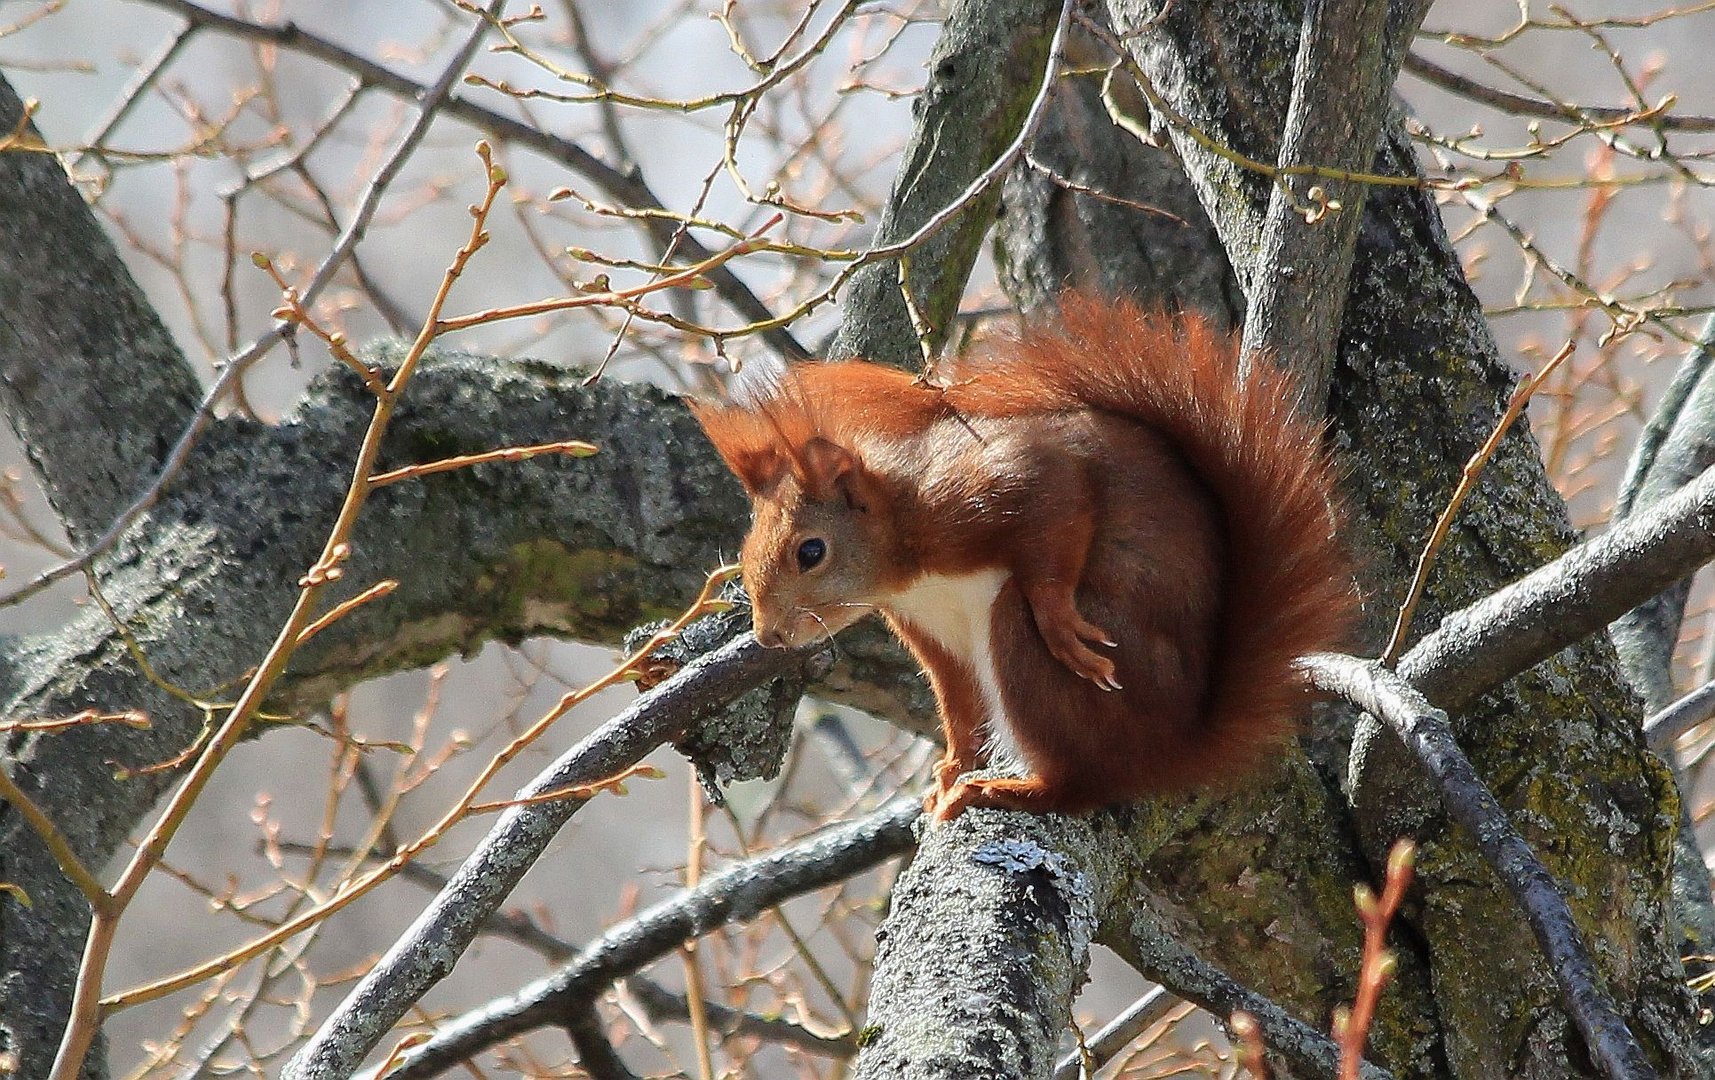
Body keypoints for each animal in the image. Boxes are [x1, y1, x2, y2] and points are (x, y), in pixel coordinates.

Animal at [692, 296, 1351, 819]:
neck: (906, 560)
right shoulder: (934, 634)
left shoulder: (984, 492)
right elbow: (959, 705)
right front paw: (951, 767)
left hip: (1035, 648)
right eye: (745, 551)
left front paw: (1060, 624)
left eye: (811, 551)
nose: (769, 636)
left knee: (1080, 782)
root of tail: (1177, 749)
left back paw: (1012, 789)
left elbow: (1056, 503)